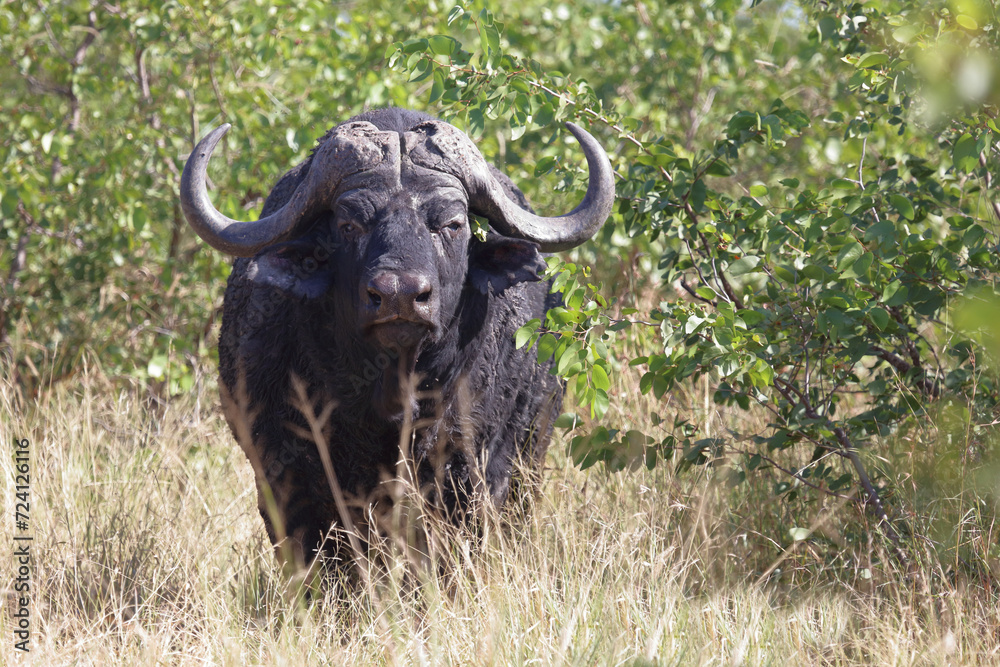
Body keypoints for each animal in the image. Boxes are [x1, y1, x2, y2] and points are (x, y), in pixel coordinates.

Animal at [180, 108, 613, 567]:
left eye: (453, 223)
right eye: (348, 224)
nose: (399, 295)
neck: (391, 397)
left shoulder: (475, 475)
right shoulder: (290, 481)